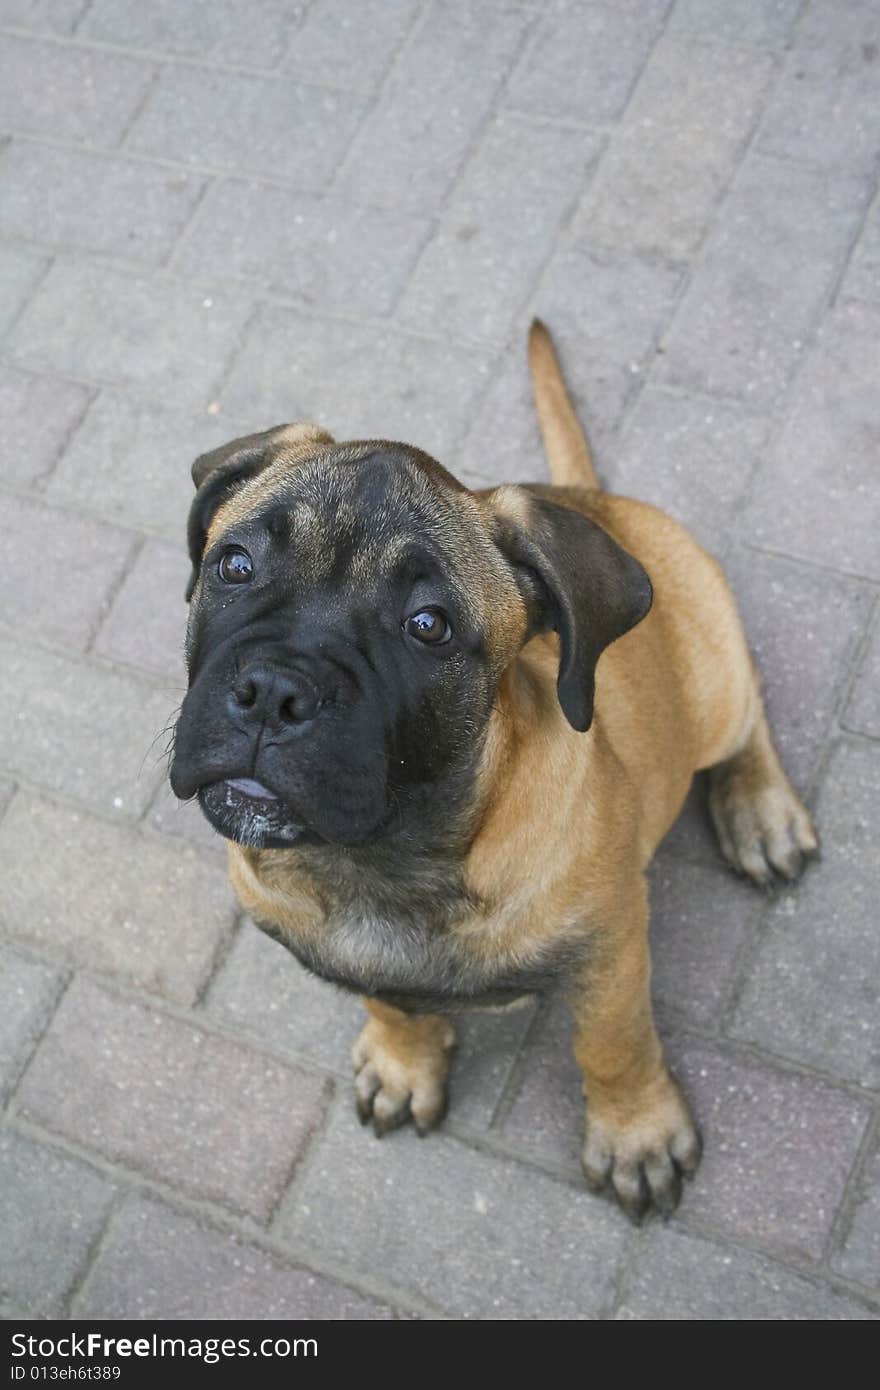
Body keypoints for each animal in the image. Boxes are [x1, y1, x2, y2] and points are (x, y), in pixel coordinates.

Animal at [171, 322, 817, 1217]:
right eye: (234, 565)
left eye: (429, 625)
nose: (273, 692)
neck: (384, 862)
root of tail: (594, 501)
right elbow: (388, 999)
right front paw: (404, 1060)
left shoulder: (612, 951)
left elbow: (613, 1045)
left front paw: (637, 1134)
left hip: (715, 680)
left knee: (748, 711)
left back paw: (761, 812)